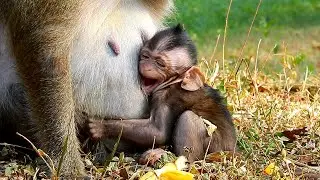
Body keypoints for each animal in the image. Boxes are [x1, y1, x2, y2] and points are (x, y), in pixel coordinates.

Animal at [89, 24, 236, 162]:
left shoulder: (164, 96)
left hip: (215, 149)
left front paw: (101, 126)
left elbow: (158, 131)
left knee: (188, 118)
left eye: (160, 63)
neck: (175, 81)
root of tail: (233, 151)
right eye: (145, 56)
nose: (146, 65)